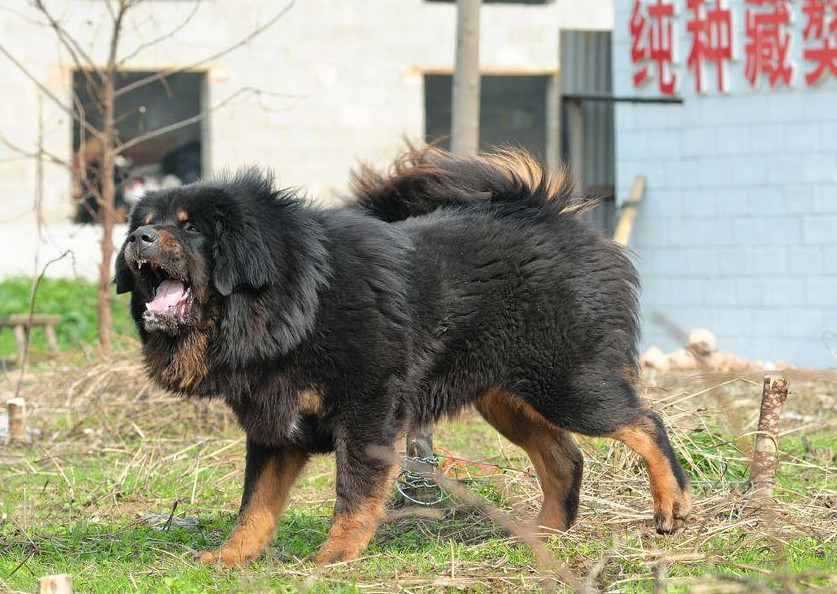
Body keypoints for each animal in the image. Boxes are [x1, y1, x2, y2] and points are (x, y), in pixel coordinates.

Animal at [114, 146, 688, 568]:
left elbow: (353, 492)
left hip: (566, 385)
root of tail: (551, 213)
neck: (290, 301)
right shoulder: (274, 425)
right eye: (146, 221)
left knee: (645, 423)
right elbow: (254, 504)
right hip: (507, 399)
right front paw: (230, 557)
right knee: (566, 459)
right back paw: (540, 534)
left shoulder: (366, 411)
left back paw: (671, 504)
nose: (138, 237)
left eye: (190, 228)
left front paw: (336, 555)